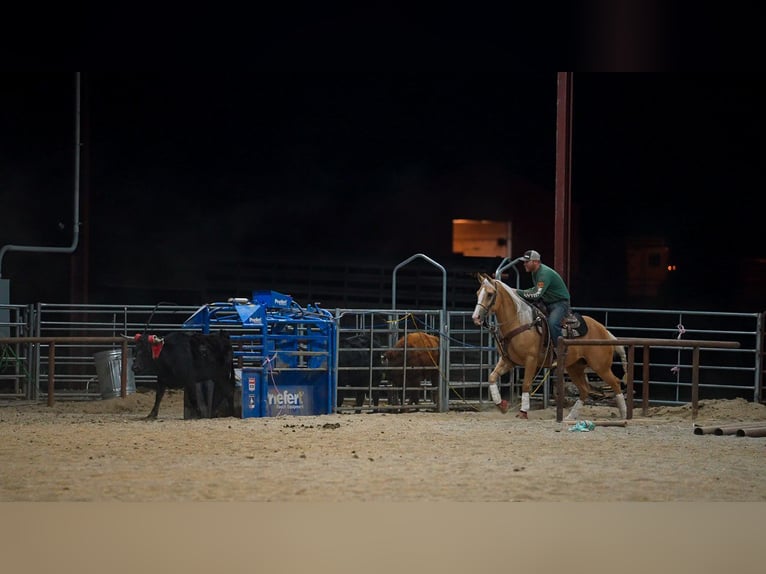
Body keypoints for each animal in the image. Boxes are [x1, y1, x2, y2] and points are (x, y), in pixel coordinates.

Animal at [472, 272, 628, 420]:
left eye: (490, 294)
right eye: (478, 293)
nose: (476, 317)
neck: (520, 322)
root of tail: (604, 331)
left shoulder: (531, 360)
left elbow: (526, 384)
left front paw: (523, 412)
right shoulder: (508, 361)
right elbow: (492, 377)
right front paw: (501, 405)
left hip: (600, 366)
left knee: (615, 383)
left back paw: (624, 413)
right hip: (575, 367)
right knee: (585, 389)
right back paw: (571, 416)